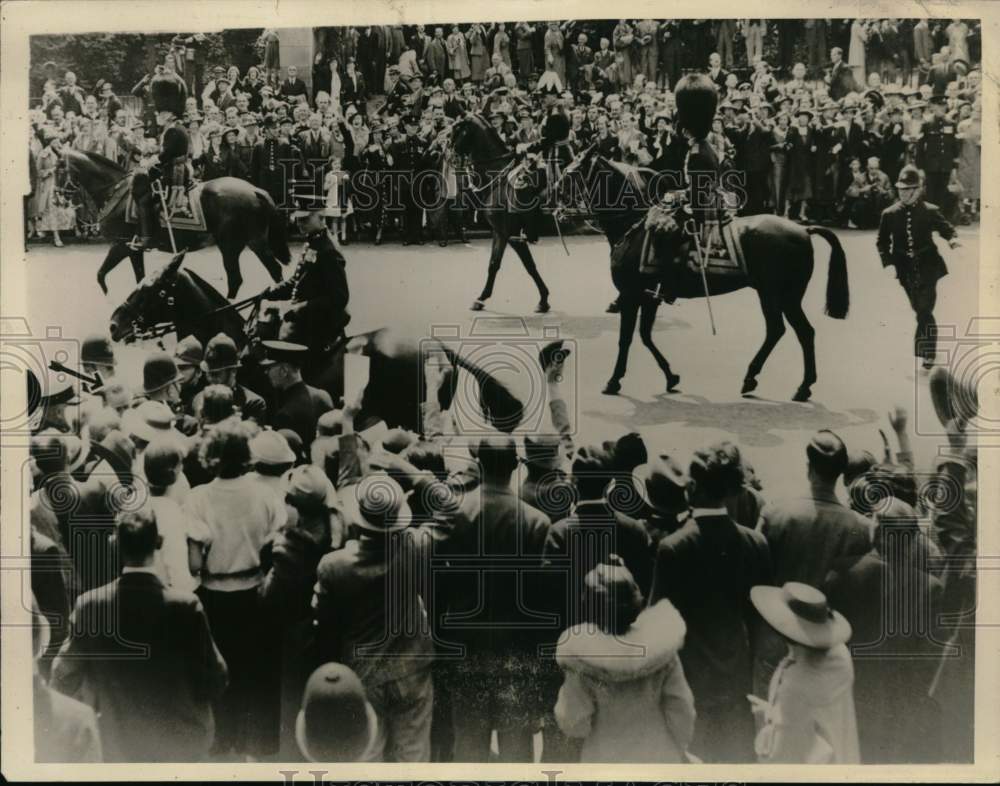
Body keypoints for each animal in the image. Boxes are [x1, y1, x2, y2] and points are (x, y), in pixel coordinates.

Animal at [62, 150, 292, 300]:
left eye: (59, 168)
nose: (60, 195)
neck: (115, 189)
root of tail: (254, 190)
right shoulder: (132, 249)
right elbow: (138, 277)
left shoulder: (121, 244)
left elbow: (101, 274)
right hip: (235, 245)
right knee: (238, 278)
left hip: (243, 243)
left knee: (266, 271)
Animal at [448, 114, 556, 316]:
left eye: (457, 129)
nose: (450, 157)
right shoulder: (499, 232)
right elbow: (494, 263)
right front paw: (481, 298)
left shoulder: (511, 235)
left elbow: (528, 266)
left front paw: (543, 300)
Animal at [560, 145, 848, 404]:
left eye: (570, 174)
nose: (558, 208)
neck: (634, 227)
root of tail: (803, 230)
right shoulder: (649, 297)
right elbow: (645, 336)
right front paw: (671, 376)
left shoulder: (632, 295)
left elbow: (626, 339)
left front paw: (613, 380)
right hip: (773, 295)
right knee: (780, 330)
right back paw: (759, 380)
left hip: (781, 295)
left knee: (800, 332)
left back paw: (798, 386)